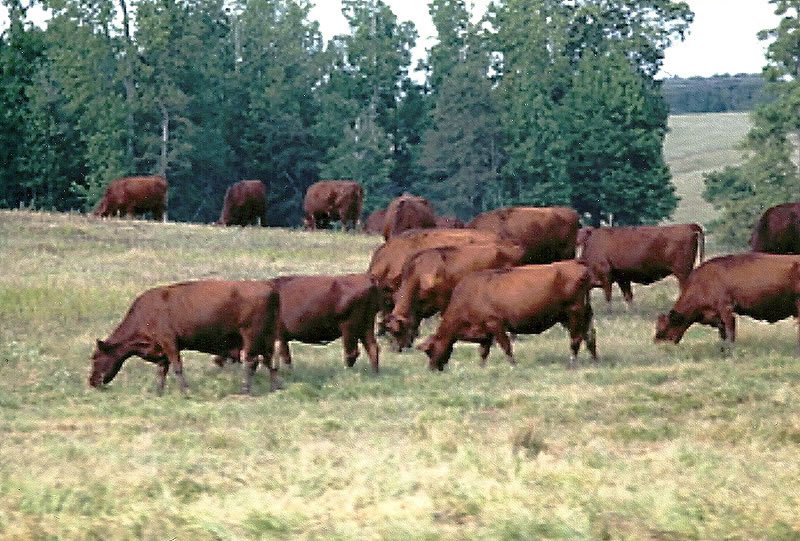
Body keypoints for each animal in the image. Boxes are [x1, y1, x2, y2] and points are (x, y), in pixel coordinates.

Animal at [87, 280, 280, 394]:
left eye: (95, 357)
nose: (92, 381)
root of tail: (270, 289)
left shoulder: (169, 342)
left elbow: (177, 367)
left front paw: (185, 392)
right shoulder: (162, 349)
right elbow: (161, 371)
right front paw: (158, 392)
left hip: (251, 336)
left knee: (252, 362)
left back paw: (245, 390)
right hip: (266, 338)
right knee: (269, 361)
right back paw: (274, 388)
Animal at [386, 242, 528, 350]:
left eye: (397, 331)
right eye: (389, 331)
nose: (396, 348)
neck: (420, 273)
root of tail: (515, 249)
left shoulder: (443, 300)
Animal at [416, 260, 596, 370]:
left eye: (429, 350)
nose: (431, 369)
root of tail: (575, 263)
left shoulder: (495, 324)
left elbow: (506, 346)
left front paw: (513, 365)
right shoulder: (485, 330)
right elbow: (483, 351)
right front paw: (481, 367)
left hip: (574, 312)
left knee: (576, 338)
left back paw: (572, 363)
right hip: (574, 315)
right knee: (589, 335)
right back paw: (595, 359)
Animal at [656, 253, 800, 350]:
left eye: (663, 329)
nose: (658, 344)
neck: (704, 281)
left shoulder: (726, 309)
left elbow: (730, 332)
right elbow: (723, 333)